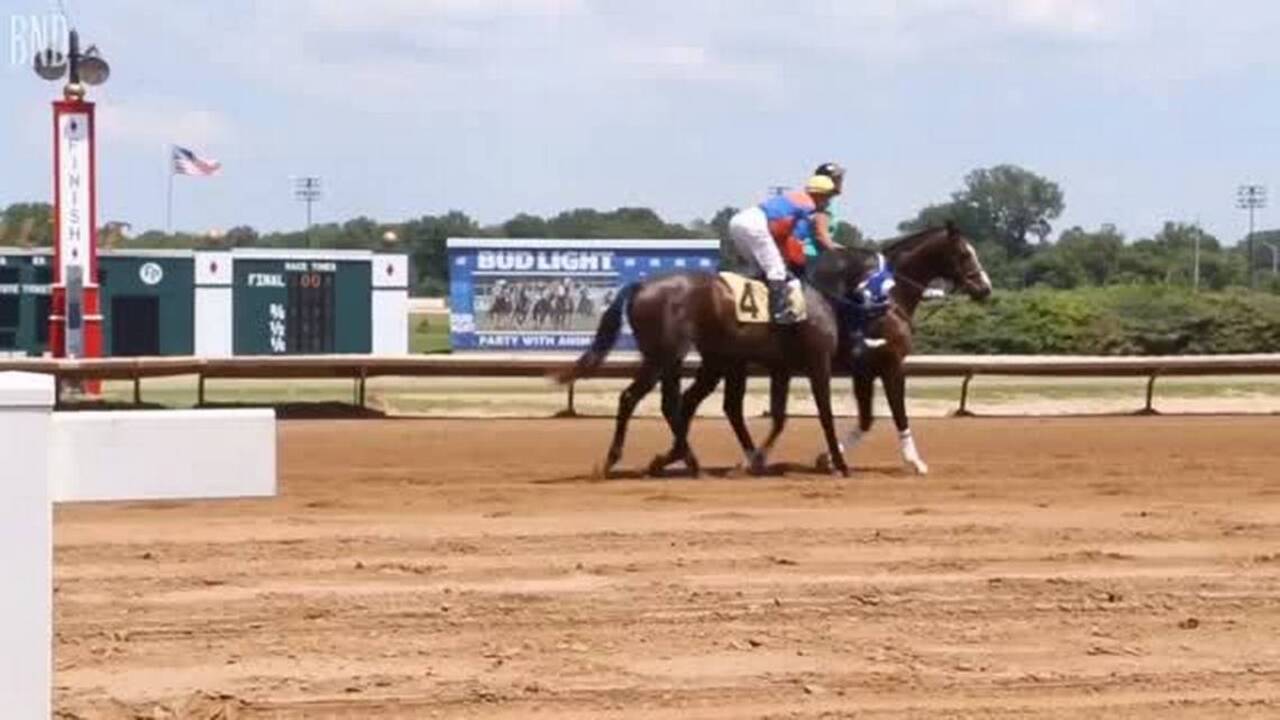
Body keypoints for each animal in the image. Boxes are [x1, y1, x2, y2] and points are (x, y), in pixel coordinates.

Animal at [554, 239, 879, 478]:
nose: (884, 310)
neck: (819, 293)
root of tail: (642, 286)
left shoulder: (780, 367)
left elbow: (778, 416)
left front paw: (756, 461)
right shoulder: (817, 362)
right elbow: (824, 414)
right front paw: (840, 465)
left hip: (685, 359)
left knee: (676, 403)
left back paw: (686, 459)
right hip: (664, 356)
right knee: (632, 398)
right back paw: (615, 460)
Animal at [652, 224, 992, 478]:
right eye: (965, 254)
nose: (985, 288)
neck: (887, 299)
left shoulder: (863, 370)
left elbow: (866, 419)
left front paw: (827, 458)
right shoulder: (890, 364)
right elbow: (897, 413)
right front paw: (915, 461)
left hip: (722, 363)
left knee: (695, 402)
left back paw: (680, 457)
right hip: (727, 363)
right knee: (704, 404)